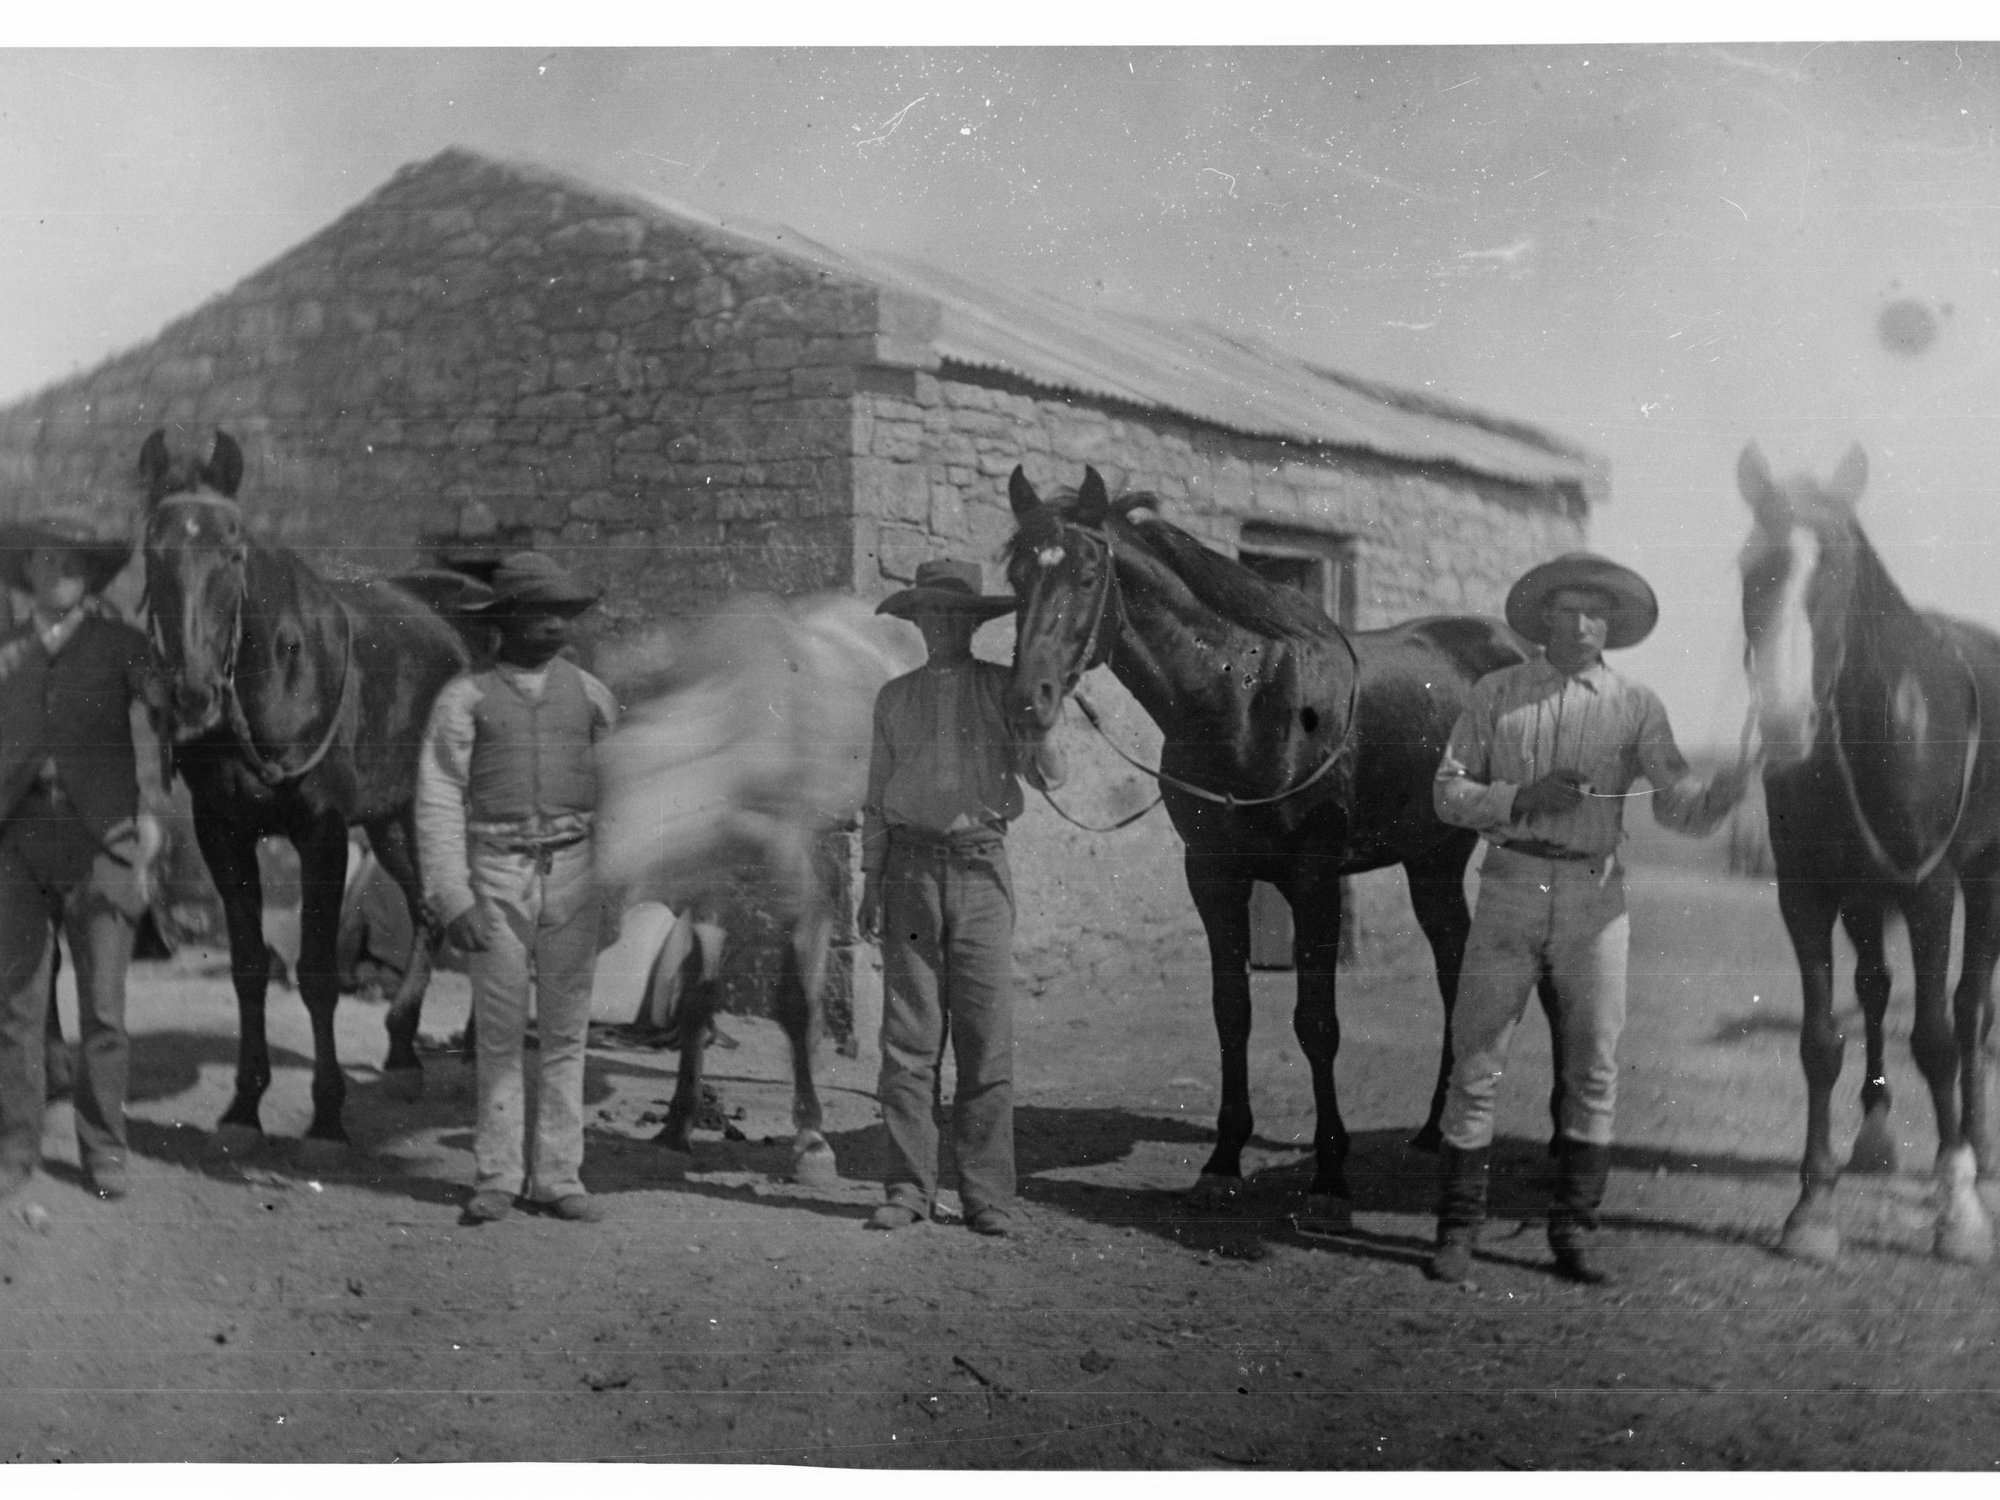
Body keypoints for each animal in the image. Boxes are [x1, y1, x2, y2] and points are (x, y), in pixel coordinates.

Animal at [139, 427, 471, 1158]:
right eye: (153, 550)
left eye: (233, 551)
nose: (194, 694)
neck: (272, 676)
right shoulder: (222, 833)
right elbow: (248, 968)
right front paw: (243, 1105)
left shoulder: (322, 833)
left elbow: (317, 974)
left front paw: (326, 1118)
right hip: (393, 822)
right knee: (426, 908)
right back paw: (402, 1049)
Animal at [594, 593, 926, 1184]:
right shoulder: (709, 887)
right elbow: (698, 1000)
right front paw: (677, 1124)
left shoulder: (793, 878)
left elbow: (795, 1002)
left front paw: (812, 1140)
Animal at [1004, 466, 1564, 1230]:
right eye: (1016, 575)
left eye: (1089, 575)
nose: (1027, 700)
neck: (1245, 702)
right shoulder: (1212, 876)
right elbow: (1231, 1013)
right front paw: (1220, 1163)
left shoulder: (1314, 879)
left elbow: (1317, 1022)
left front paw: (1329, 1178)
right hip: (1433, 859)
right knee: (1455, 968)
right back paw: (1432, 1129)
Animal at [1736, 441, 1998, 1265]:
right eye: (1750, 568)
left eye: (1842, 573)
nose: (1786, 721)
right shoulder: (1808, 895)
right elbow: (1823, 1040)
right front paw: (1811, 1209)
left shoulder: (1929, 889)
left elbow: (1938, 1039)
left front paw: (1959, 1212)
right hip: (1861, 897)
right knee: (1879, 992)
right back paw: (1876, 1137)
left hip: (1986, 879)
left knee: (1971, 1009)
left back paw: (1979, 1154)